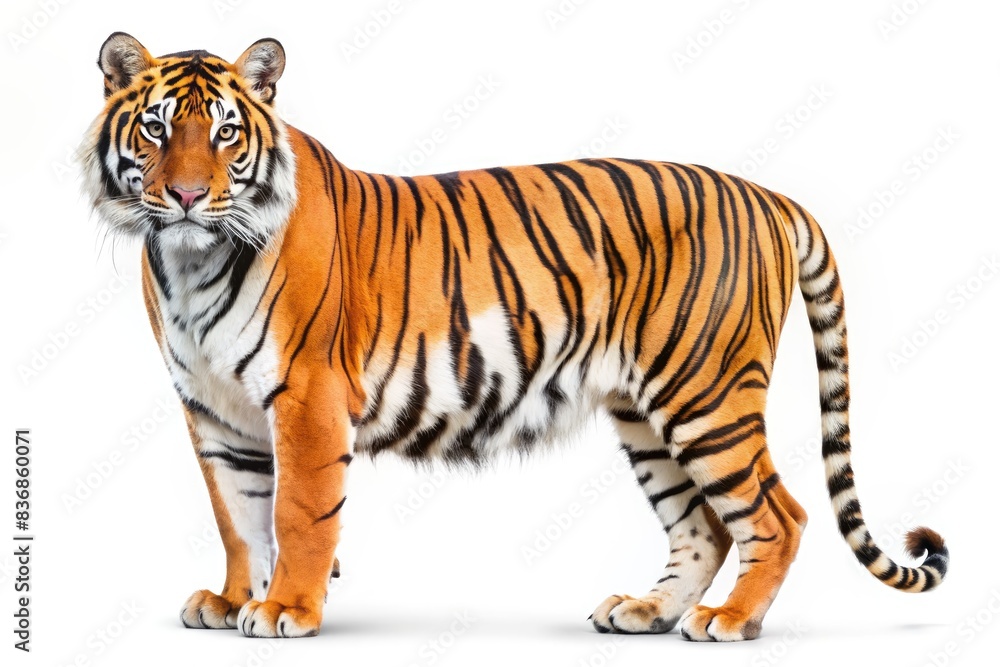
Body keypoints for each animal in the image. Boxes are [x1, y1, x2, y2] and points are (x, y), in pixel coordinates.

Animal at [80, 32, 949, 641]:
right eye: (155, 129)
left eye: (226, 134)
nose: (187, 196)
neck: (190, 260)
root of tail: (767, 192)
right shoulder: (213, 411)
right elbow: (238, 517)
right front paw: (232, 599)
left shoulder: (308, 397)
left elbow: (296, 512)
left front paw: (287, 607)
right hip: (645, 412)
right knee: (701, 526)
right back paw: (646, 611)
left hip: (707, 394)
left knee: (778, 514)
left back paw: (731, 621)